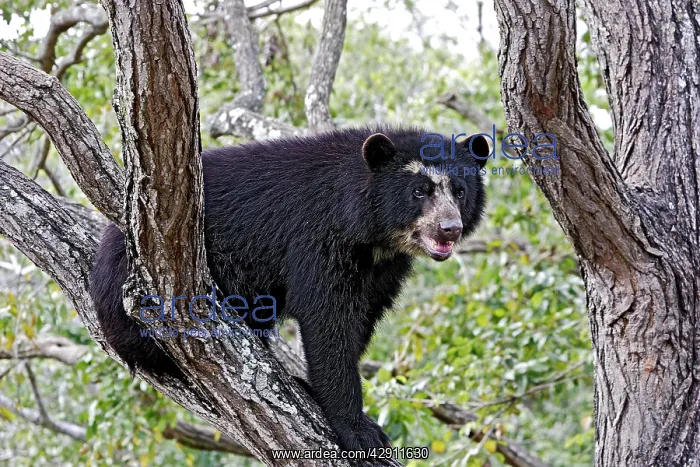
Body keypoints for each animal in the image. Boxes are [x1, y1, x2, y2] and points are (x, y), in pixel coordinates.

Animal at [89, 126, 489, 450]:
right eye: (419, 191)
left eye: (459, 191)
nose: (449, 228)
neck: (374, 237)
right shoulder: (316, 239)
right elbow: (328, 320)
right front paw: (360, 430)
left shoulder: (384, 269)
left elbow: (362, 319)